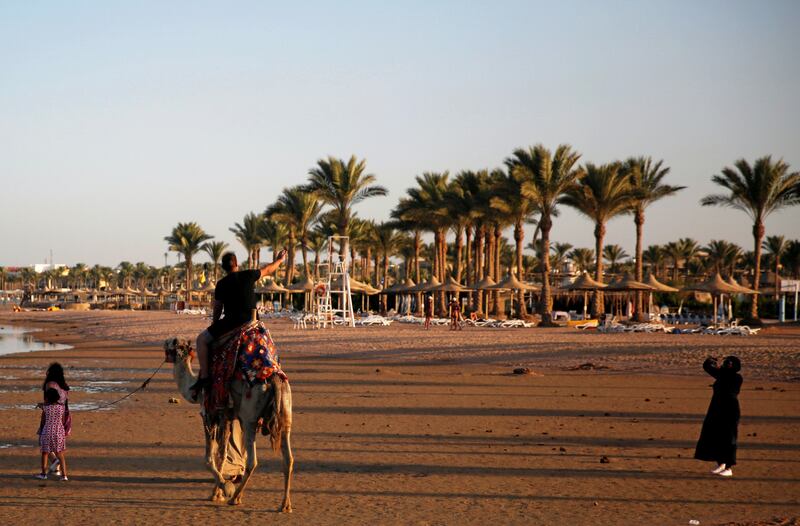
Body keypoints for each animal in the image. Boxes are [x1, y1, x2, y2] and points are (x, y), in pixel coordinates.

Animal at [163, 336, 294, 512]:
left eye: (172, 342)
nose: (164, 342)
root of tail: (274, 380)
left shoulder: (208, 414)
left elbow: (209, 458)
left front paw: (224, 488)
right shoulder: (226, 416)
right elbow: (223, 454)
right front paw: (216, 493)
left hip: (249, 417)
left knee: (252, 460)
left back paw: (235, 498)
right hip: (285, 413)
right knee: (288, 459)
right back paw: (285, 505)